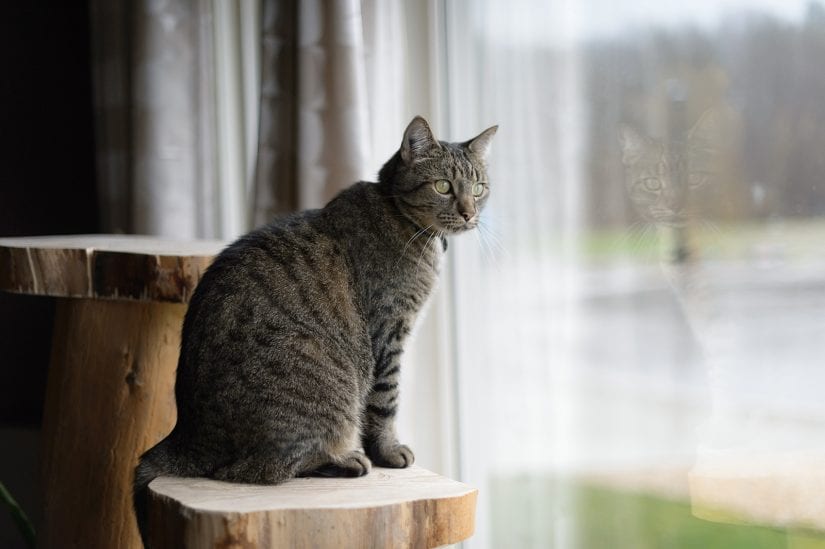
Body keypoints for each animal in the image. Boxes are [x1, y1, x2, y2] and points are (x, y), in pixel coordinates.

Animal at [132, 115, 498, 544]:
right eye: (443, 186)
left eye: (478, 188)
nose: (469, 213)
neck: (398, 215)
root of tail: (187, 434)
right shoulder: (388, 332)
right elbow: (385, 404)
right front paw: (388, 452)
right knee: (257, 471)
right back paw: (348, 460)